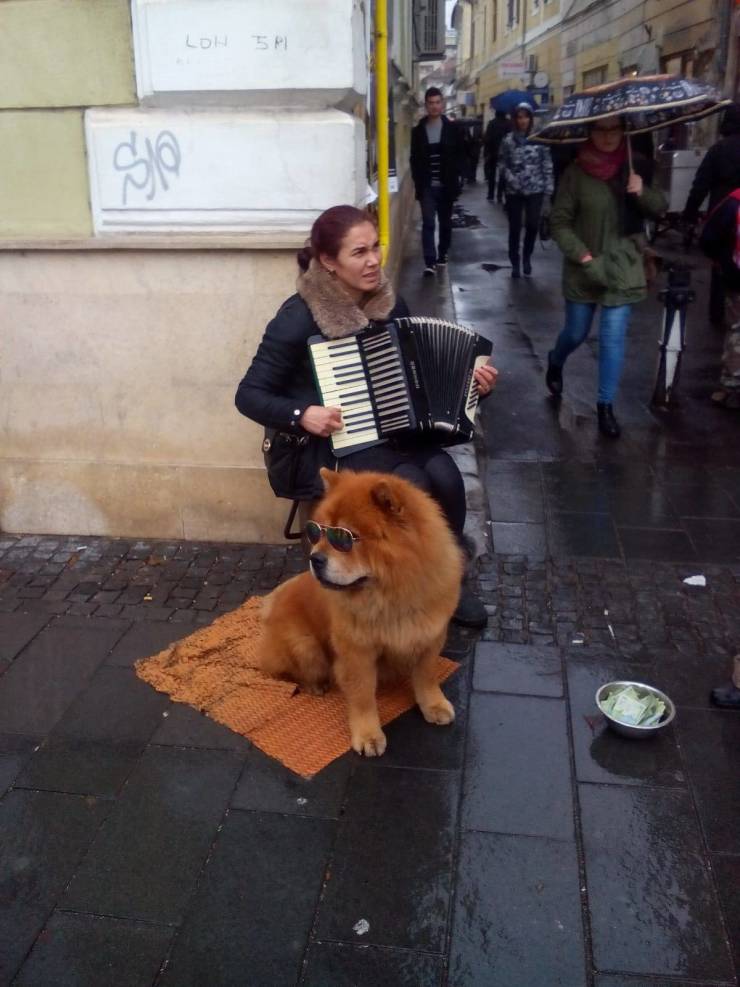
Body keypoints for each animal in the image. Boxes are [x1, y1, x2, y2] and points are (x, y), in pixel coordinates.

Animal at [258, 466, 462, 760]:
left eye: (344, 538)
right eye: (317, 533)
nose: (314, 558)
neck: (391, 595)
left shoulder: (430, 638)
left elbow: (426, 677)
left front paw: (433, 705)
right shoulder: (357, 651)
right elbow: (363, 695)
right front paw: (368, 736)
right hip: (305, 646)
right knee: (294, 670)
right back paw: (316, 686)